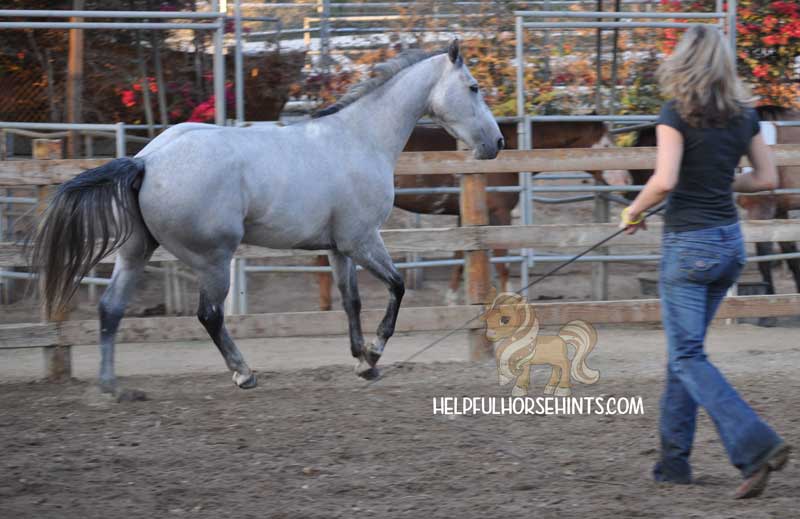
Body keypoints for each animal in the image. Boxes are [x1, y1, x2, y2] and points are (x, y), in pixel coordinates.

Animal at [36, 41, 506, 394]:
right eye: (473, 86)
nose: (497, 143)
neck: (360, 138)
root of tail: (147, 160)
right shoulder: (363, 240)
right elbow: (397, 287)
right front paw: (374, 353)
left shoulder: (339, 248)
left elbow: (351, 301)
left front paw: (363, 363)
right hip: (213, 258)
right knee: (209, 315)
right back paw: (243, 373)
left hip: (136, 252)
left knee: (111, 309)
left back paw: (111, 387)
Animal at [316, 120, 620, 310]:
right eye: (606, 145)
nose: (625, 180)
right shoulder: (498, 214)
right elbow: (502, 262)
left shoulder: (465, 217)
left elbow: (461, 257)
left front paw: (453, 299)